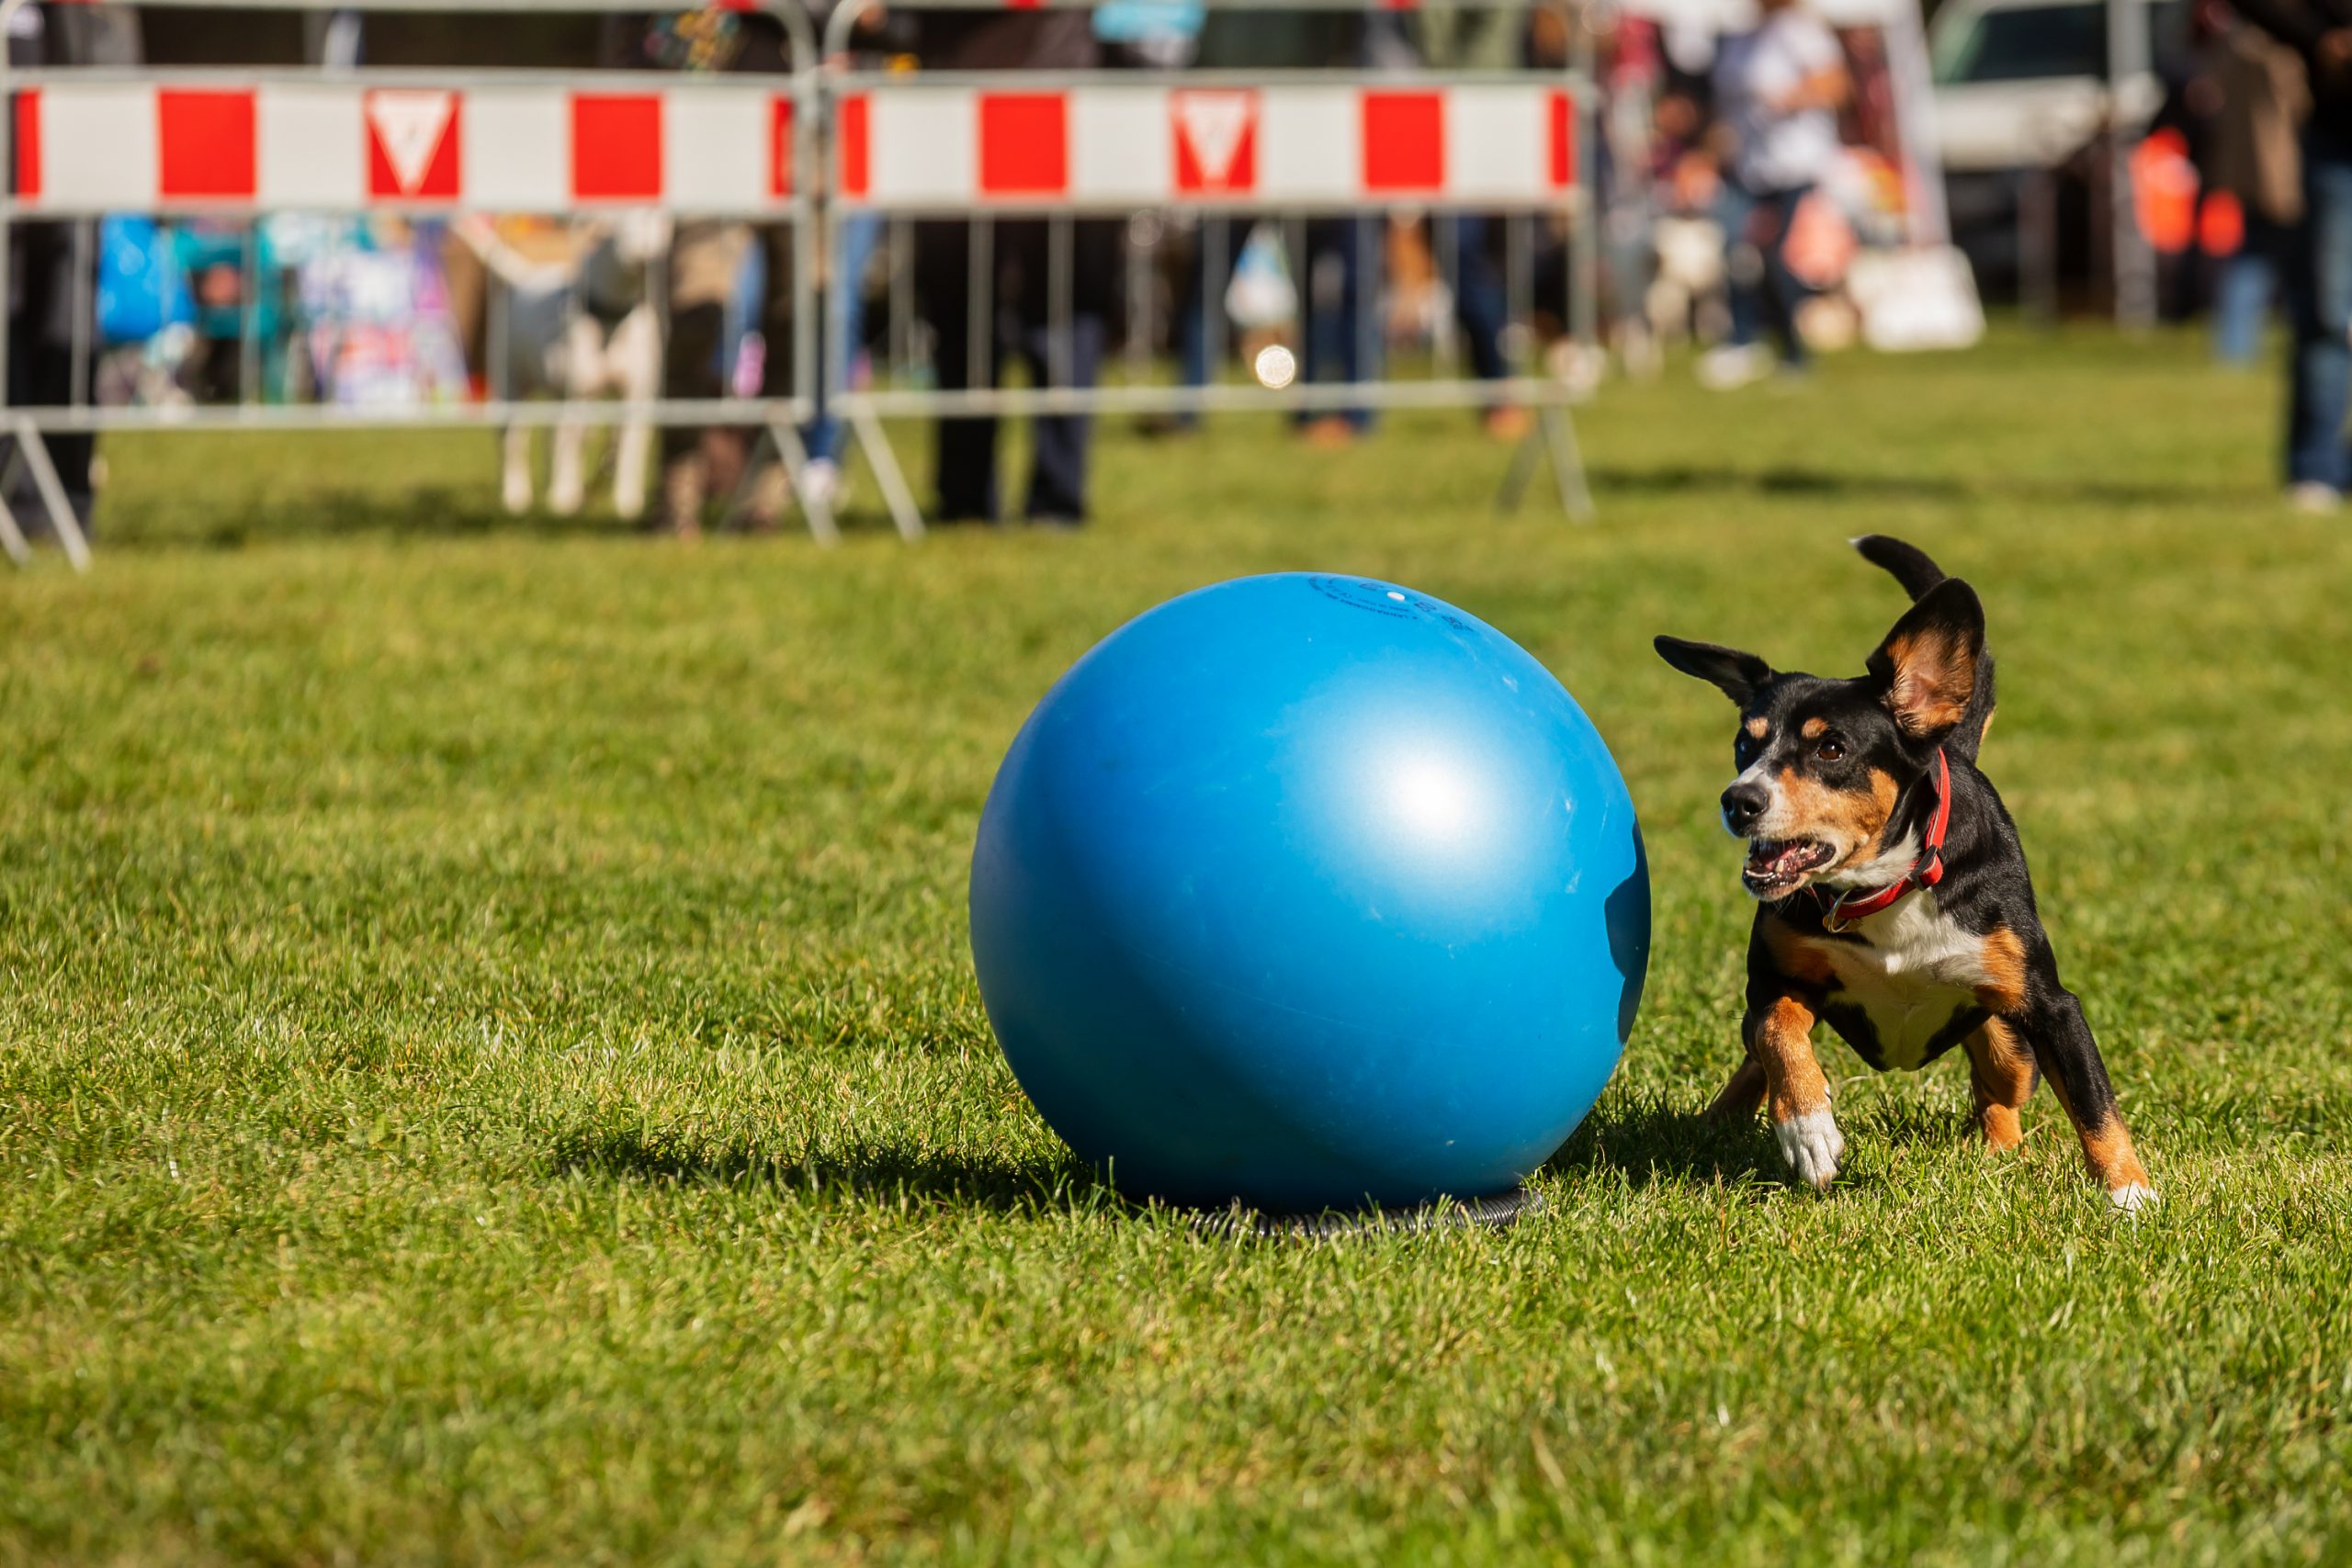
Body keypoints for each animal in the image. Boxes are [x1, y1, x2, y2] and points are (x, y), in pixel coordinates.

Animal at [1656, 533, 2154, 1213]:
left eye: (1830, 748)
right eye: (1744, 744)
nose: (1740, 800)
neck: (1883, 890)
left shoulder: (2052, 1006)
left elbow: (2095, 1103)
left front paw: (2130, 1195)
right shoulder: (1774, 981)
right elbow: (1780, 1035)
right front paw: (1807, 1128)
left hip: (2007, 1037)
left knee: (2001, 1090)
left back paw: (1998, 1153)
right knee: (1756, 1053)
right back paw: (1721, 1118)